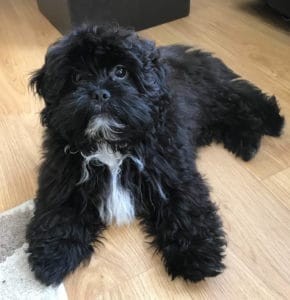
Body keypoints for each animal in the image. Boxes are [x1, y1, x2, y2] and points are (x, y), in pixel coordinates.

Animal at [26, 24, 284, 284]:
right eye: (77, 77)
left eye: (121, 72)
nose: (99, 93)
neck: (110, 142)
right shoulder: (63, 177)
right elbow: (59, 212)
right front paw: (53, 256)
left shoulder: (172, 172)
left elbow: (186, 209)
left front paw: (197, 254)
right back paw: (245, 141)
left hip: (214, 95)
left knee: (243, 100)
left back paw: (270, 124)